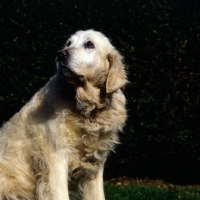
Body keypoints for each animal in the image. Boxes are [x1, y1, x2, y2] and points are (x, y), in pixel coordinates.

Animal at [0, 29, 127, 200]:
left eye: (89, 44)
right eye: (69, 43)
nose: (60, 54)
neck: (87, 110)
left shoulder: (96, 167)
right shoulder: (56, 162)